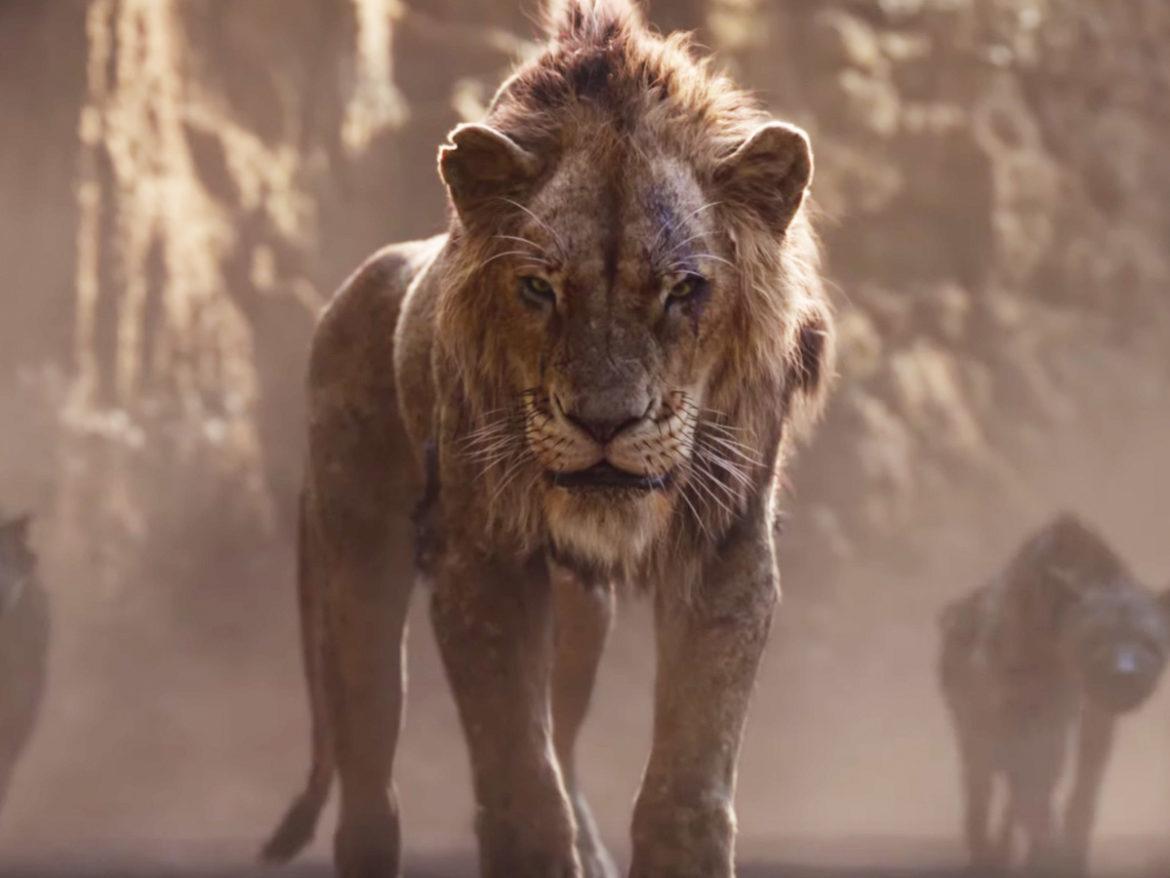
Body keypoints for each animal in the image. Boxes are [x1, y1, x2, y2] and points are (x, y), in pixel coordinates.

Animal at [261, 1, 834, 875]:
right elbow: (521, 789)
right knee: (369, 790)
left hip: (580, 615)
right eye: (538, 288)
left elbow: (686, 787)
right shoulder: (483, 561)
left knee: (561, 740)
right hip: (359, 567)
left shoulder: (727, 548)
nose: (603, 422)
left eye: (683, 290)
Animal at [939, 514, 1170, 875]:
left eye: (1148, 642)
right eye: (1096, 639)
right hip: (976, 731)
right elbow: (1030, 797)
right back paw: (985, 854)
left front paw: (1068, 854)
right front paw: (1048, 857)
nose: (1126, 674)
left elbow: (1081, 789)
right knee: (981, 786)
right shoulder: (1014, 716)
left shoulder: (1089, 717)